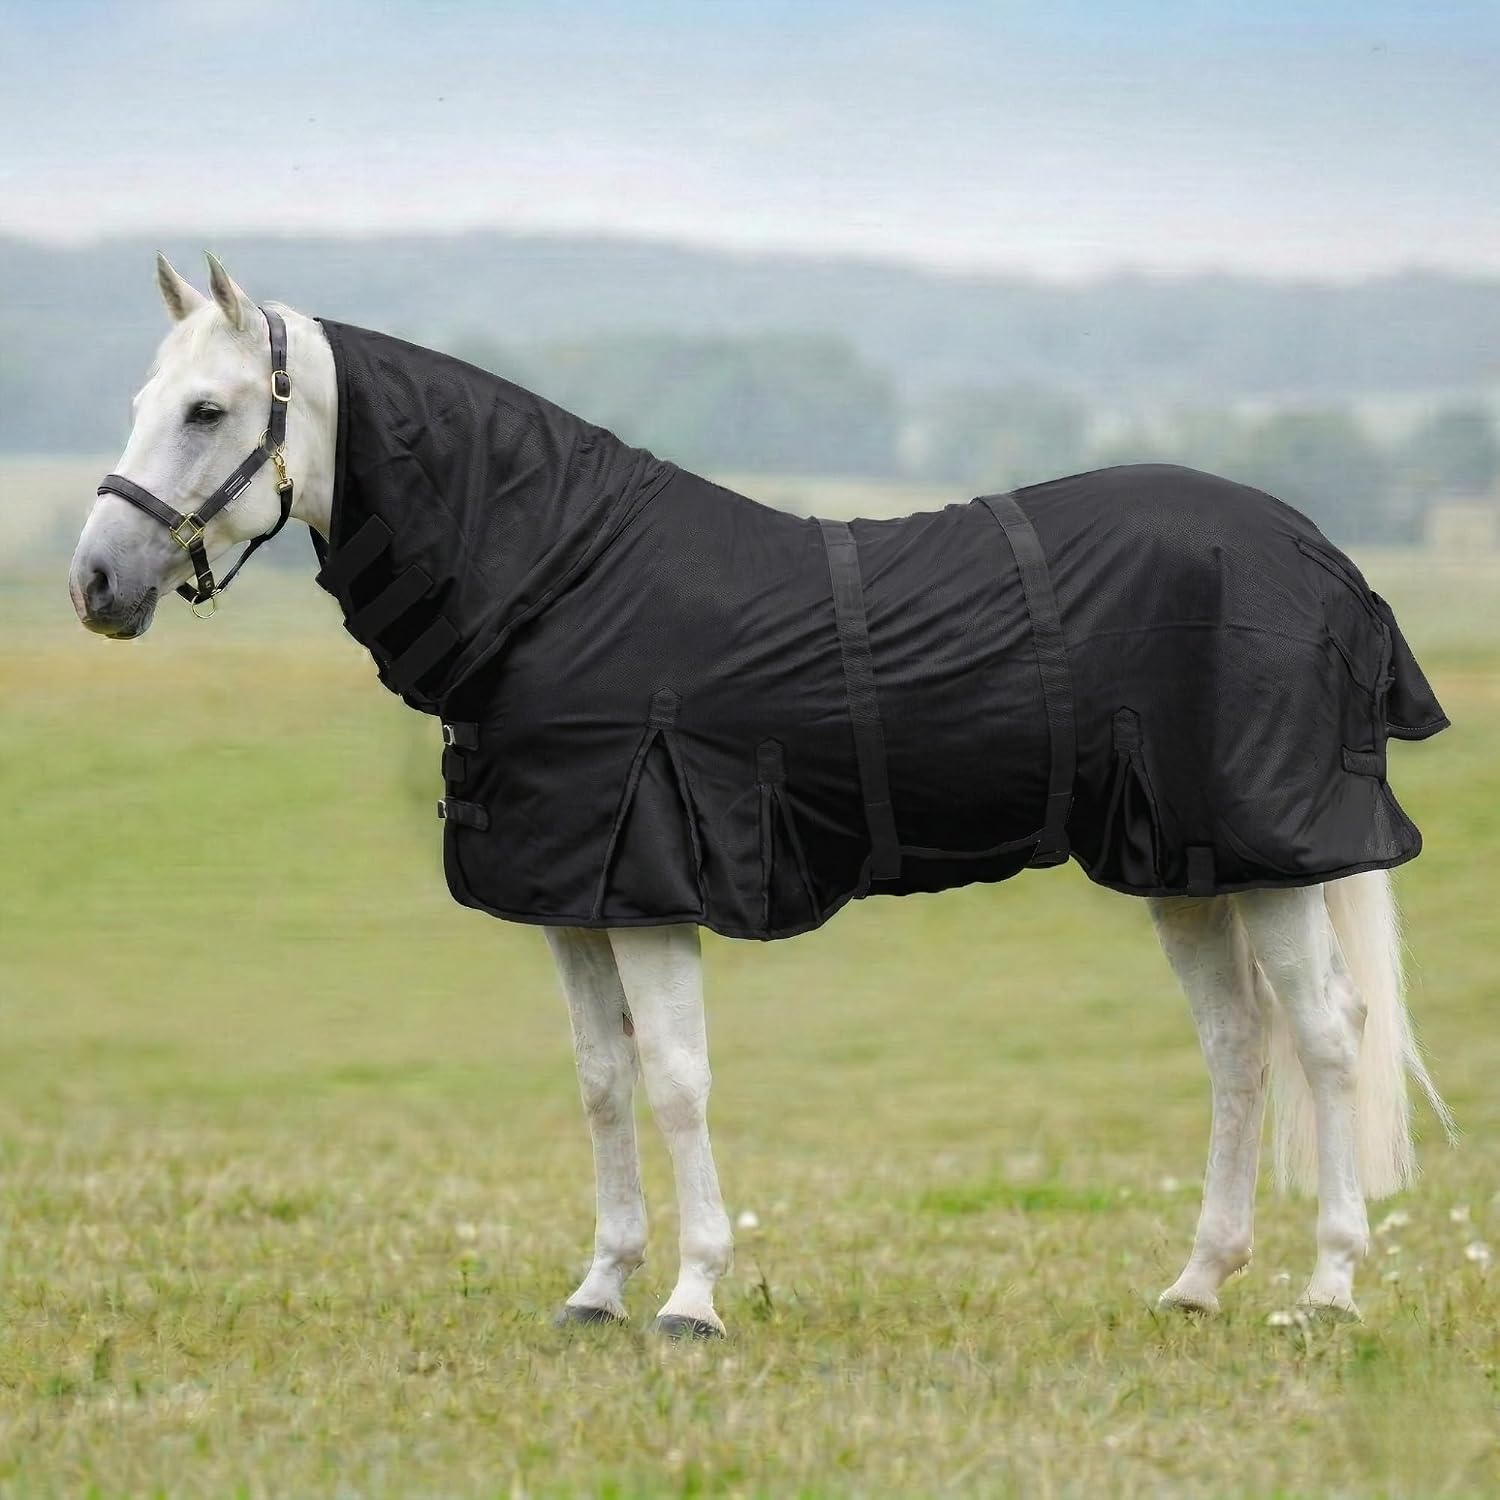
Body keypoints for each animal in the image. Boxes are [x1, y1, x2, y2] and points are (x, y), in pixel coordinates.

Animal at [68, 253, 1452, 1338]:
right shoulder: (575, 901)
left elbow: (678, 1080)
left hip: (1268, 862)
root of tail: (1316, 554)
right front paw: (599, 1288)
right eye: (139, 402)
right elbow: (602, 1080)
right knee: (1236, 1047)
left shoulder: (651, 888)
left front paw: (693, 1299)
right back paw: (1198, 1282)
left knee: (1327, 1038)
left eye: (206, 409)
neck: (559, 579)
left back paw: (1326, 1289)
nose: (95, 583)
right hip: (1187, 870)